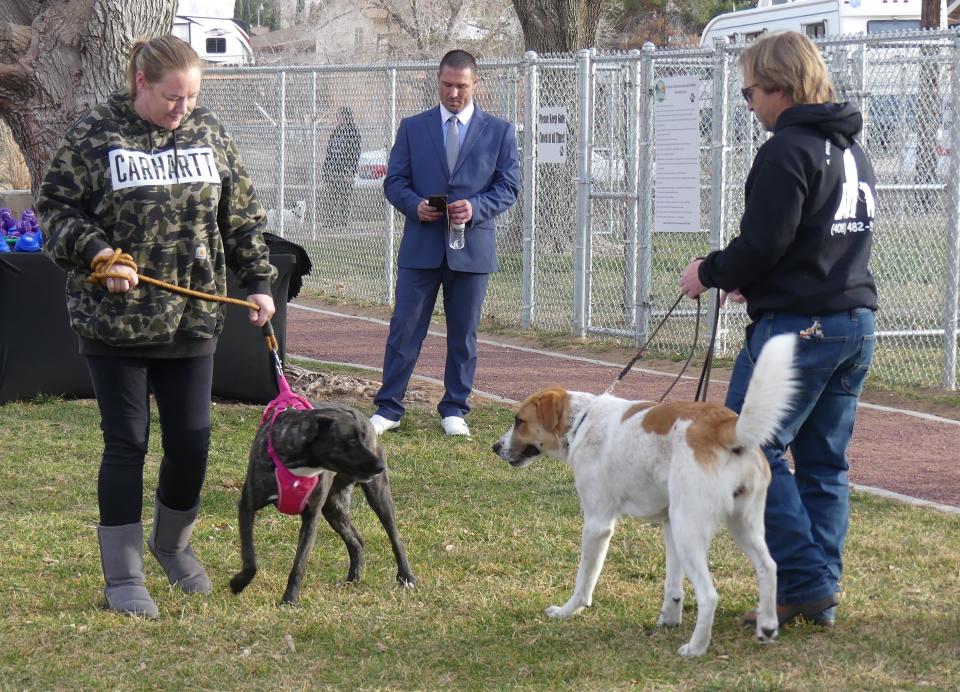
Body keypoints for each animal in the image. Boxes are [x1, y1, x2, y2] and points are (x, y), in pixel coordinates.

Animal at [232, 400, 416, 604]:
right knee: (356, 541)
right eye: (351, 440)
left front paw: (289, 600)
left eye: (362, 438)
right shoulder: (247, 508)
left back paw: (406, 576)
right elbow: (249, 558)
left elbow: (299, 564)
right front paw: (239, 583)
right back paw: (352, 579)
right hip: (334, 507)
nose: (381, 466)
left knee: (395, 538)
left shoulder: (311, 517)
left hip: (377, 495)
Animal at [492, 334, 800, 656]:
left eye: (519, 421)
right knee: (769, 567)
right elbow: (673, 586)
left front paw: (568, 611)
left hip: (690, 531)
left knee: (709, 595)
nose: (494, 447)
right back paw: (767, 626)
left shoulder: (598, 525)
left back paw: (696, 648)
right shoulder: (668, 525)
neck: (581, 422)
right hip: (740, 525)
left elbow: (583, 581)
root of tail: (723, 426)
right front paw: (669, 619)